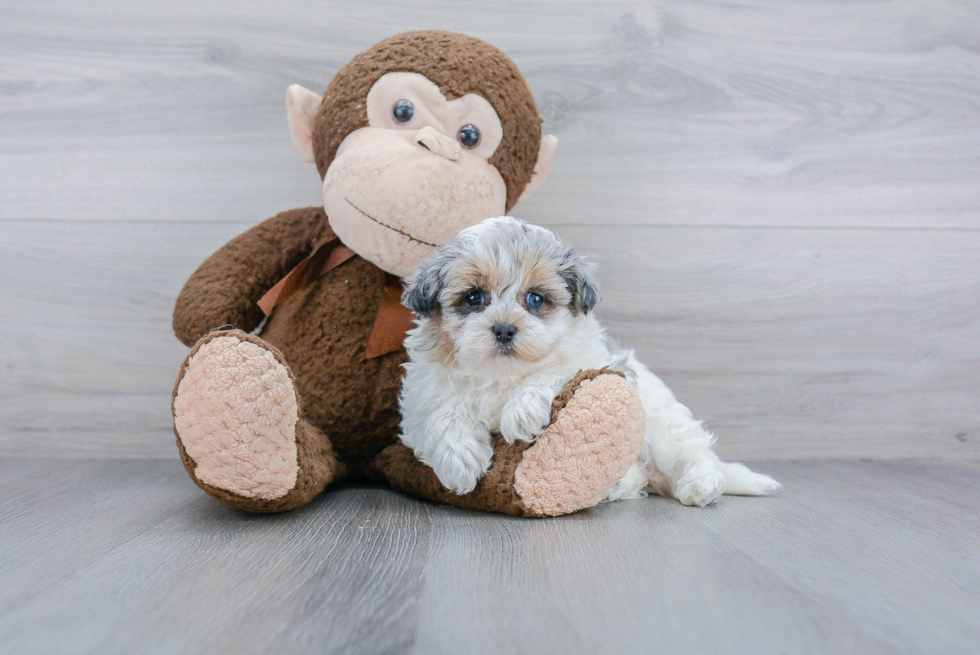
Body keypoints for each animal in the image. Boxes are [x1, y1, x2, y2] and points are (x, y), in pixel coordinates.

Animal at [398, 218, 780, 504]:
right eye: (474, 297)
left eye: (535, 299)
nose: (504, 328)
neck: (502, 373)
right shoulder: (423, 396)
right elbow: (442, 416)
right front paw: (459, 462)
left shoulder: (593, 360)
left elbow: (553, 372)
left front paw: (521, 411)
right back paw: (615, 489)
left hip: (661, 424)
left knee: (692, 455)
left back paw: (701, 486)